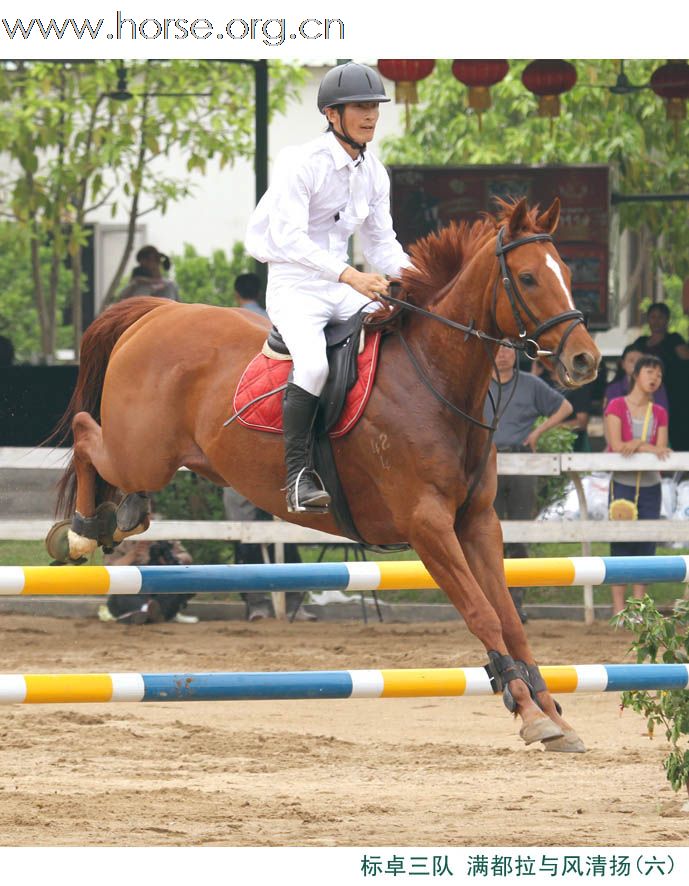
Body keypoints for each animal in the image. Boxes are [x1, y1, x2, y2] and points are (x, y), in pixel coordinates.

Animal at [49, 199, 596, 748]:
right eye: (527, 278)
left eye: (567, 274)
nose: (585, 360)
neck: (432, 378)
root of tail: (158, 311)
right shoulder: (428, 526)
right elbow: (482, 613)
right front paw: (528, 710)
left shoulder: (477, 522)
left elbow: (509, 618)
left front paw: (552, 712)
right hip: (142, 452)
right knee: (85, 432)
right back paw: (81, 531)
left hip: (150, 456)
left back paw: (123, 515)